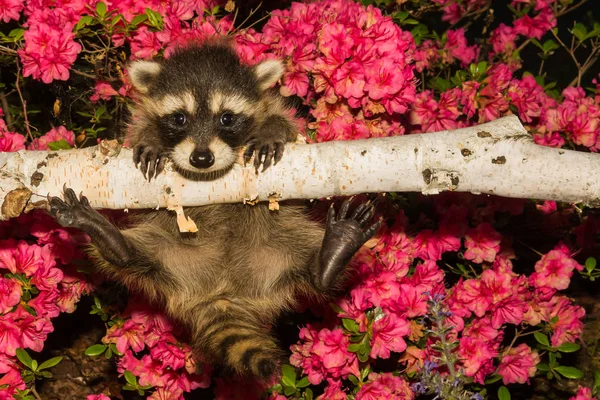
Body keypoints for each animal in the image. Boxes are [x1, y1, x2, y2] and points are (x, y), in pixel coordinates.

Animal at [49, 40, 382, 382]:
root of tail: (223, 294)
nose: (201, 158)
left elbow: (286, 122)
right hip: (170, 254)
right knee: (136, 260)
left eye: (227, 118)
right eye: (179, 118)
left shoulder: (272, 108)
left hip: (280, 244)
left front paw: (272, 130)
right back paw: (111, 240)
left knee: (310, 268)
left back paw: (331, 255)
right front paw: (151, 138)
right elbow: (139, 129)